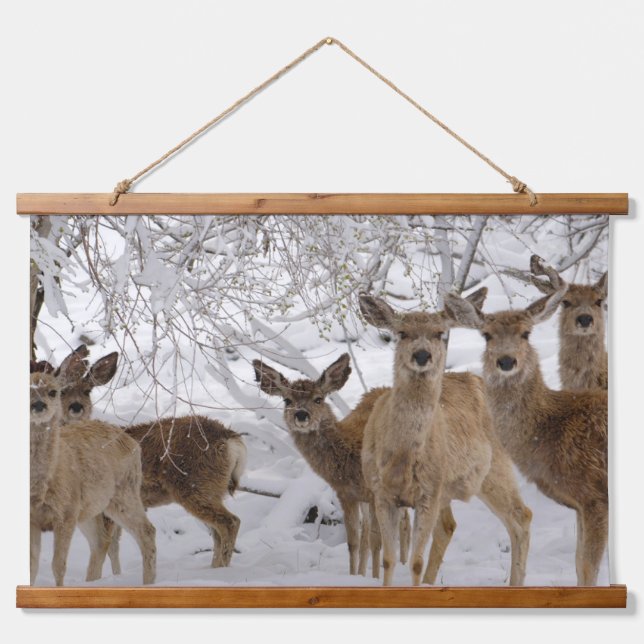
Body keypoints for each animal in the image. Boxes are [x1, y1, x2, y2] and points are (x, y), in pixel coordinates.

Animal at [29, 356, 156, 586]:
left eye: (53, 391)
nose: (39, 405)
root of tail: (131, 441)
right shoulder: (32, 518)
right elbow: (32, 566)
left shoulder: (66, 513)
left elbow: (58, 566)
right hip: (91, 507)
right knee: (101, 541)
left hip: (124, 492)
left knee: (146, 531)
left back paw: (149, 584)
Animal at [253, 355, 409, 577]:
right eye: (287, 400)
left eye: (318, 398)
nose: (301, 415)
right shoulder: (347, 494)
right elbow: (354, 542)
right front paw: (354, 577)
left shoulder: (375, 493)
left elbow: (376, 542)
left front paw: (374, 578)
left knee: (405, 521)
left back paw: (404, 563)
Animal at [359, 289, 532, 587]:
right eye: (402, 332)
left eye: (440, 333)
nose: (422, 355)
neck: (402, 458)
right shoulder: (381, 493)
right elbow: (389, 560)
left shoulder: (429, 493)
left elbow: (415, 562)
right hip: (452, 488)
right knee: (450, 525)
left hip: (493, 469)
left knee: (521, 516)